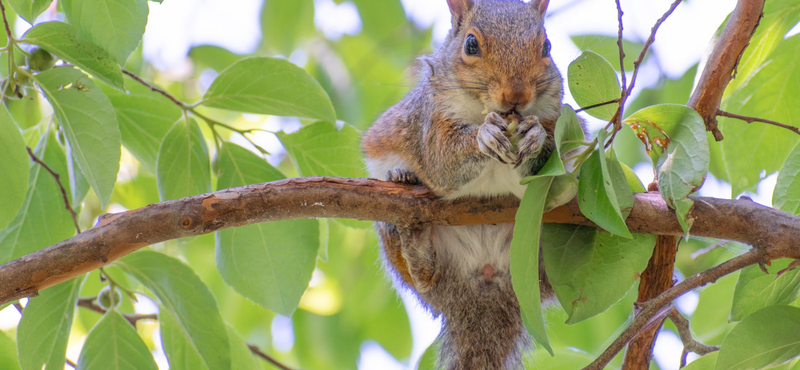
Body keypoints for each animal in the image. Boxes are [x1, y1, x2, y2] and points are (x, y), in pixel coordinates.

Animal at [360, 0, 564, 368]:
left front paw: (535, 135)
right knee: (425, 277)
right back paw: (413, 229)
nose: (516, 95)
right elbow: (442, 161)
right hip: (391, 232)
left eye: (547, 47)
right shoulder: (431, 120)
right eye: (470, 45)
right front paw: (484, 135)